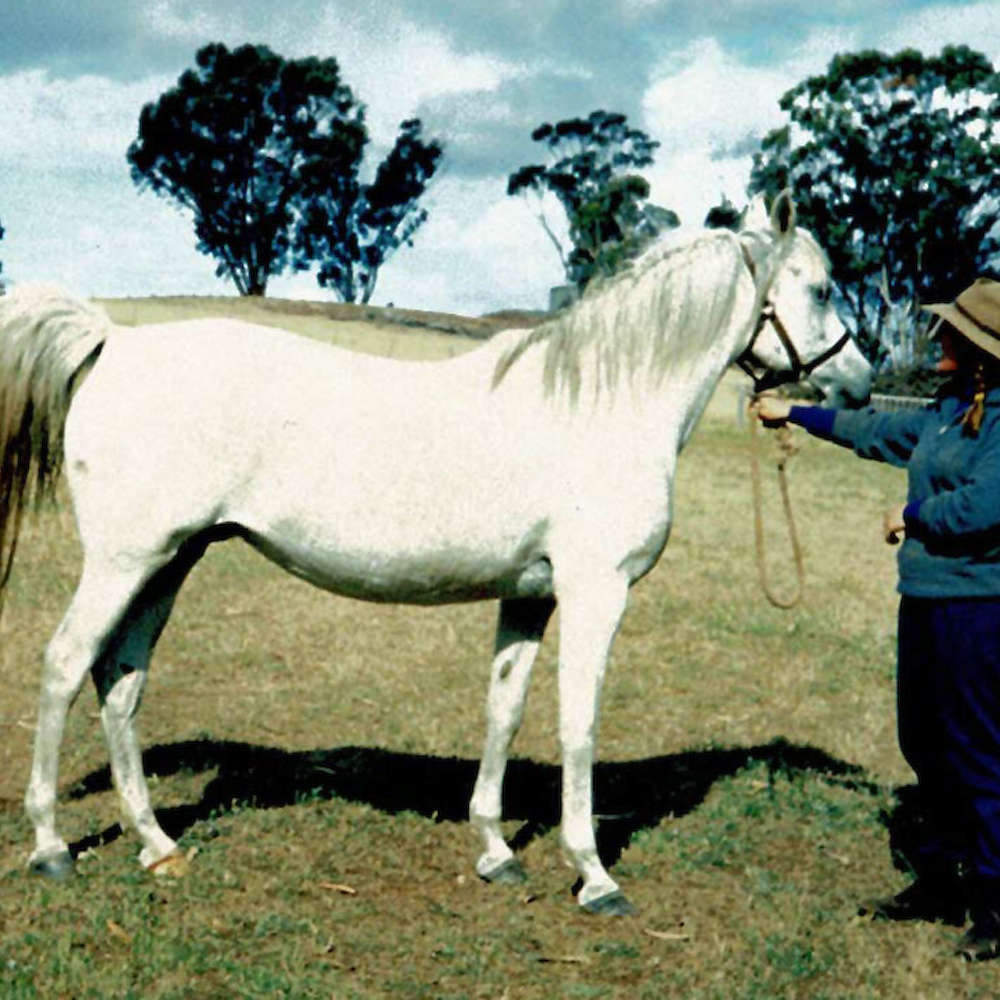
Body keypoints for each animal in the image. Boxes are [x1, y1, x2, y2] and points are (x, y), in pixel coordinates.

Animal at [1, 192, 871, 915]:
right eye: (822, 287)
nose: (861, 383)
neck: (604, 401)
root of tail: (113, 343)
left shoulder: (532, 593)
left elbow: (505, 707)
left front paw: (495, 850)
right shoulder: (597, 590)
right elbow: (579, 724)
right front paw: (593, 875)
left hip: (172, 561)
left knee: (120, 681)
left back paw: (157, 845)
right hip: (125, 561)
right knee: (65, 665)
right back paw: (51, 847)